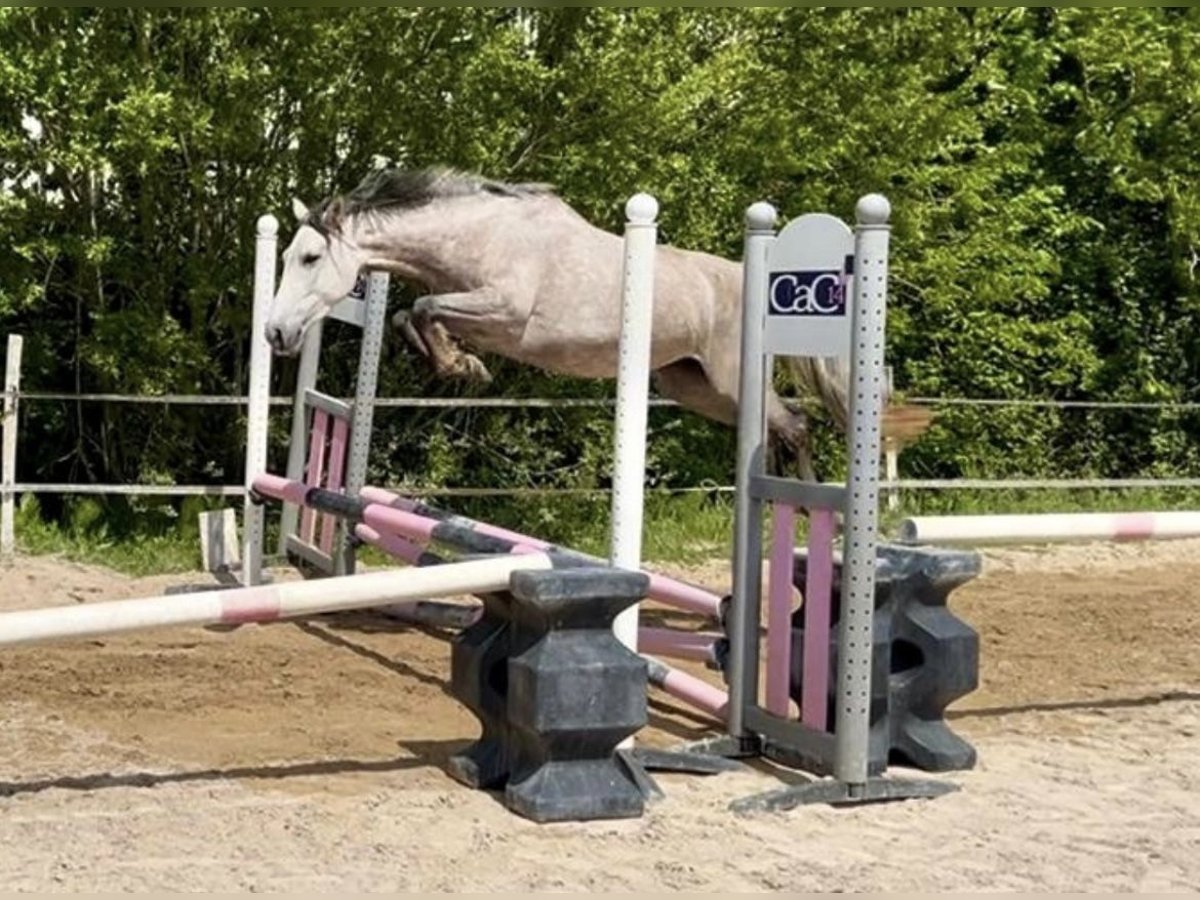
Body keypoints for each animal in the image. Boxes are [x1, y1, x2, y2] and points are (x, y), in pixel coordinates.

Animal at [264, 167, 930, 480]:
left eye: (310, 258)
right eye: (290, 254)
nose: (275, 334)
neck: (479, 234)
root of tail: (750, 277)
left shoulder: (505, 312)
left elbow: (425, 309)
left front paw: (463, 367)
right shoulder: (472, 307)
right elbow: (410, 314)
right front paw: (460, 365)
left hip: (731, 379)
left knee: (794, 425)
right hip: (693, 385)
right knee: (782, 427)